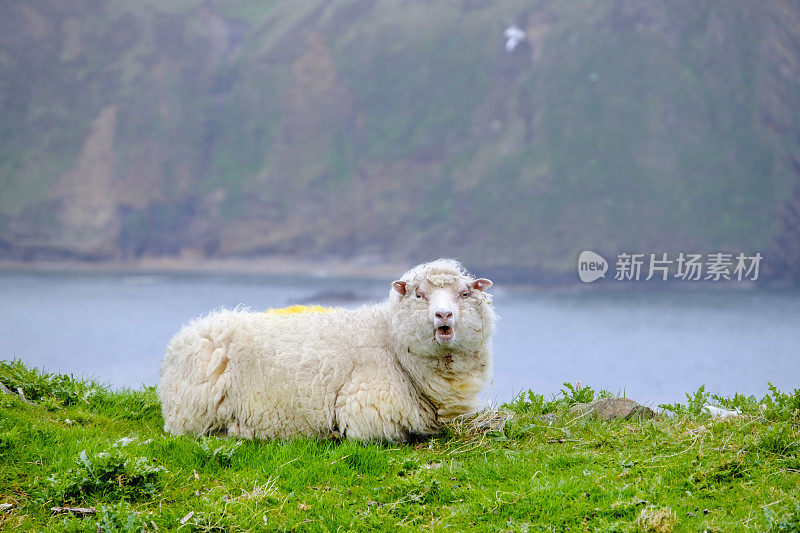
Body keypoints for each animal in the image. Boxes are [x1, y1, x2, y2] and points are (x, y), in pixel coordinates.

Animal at [158, 258, 494, 440]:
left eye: (465, 293)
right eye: (419, 295)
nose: (443, 315)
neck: (389, 339)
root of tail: (183, 336)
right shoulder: (366, 413)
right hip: (193, 414)